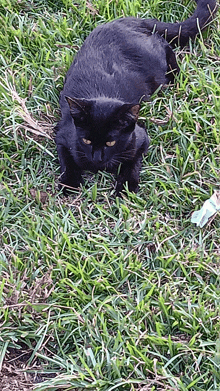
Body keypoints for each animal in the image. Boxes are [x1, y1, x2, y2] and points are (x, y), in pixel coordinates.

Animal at [55, 0, 217, 196]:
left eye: (111, 142)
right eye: (86, 141)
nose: (97, 158)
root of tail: (128, 21)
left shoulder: (140, 138)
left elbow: (133, 163)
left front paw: (126, 185)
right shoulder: (63, 134)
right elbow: (67, 160)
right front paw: (70, 182)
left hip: (155, 68)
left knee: (163, 43)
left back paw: (175, 77)